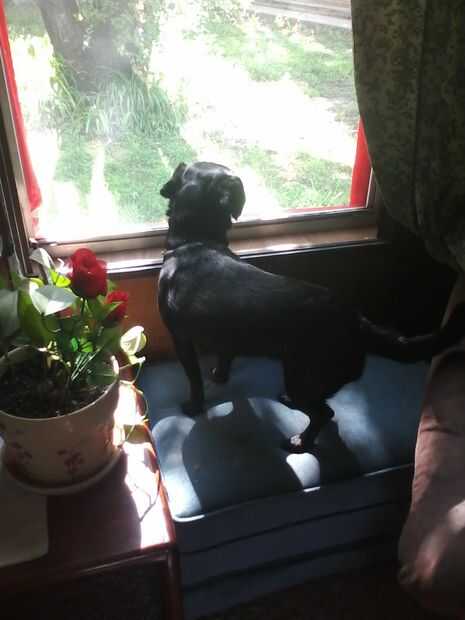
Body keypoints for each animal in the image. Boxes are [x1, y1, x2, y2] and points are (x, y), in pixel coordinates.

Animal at [158, 161, 465, 452]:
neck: (197, 242)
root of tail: (357, 323)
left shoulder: (180, 338)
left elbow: (194, 379)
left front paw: (193, 406)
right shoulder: (226, 340)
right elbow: (225, 358)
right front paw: (220, 377)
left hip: (302, 378)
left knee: (324, 413)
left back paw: (301, 442)